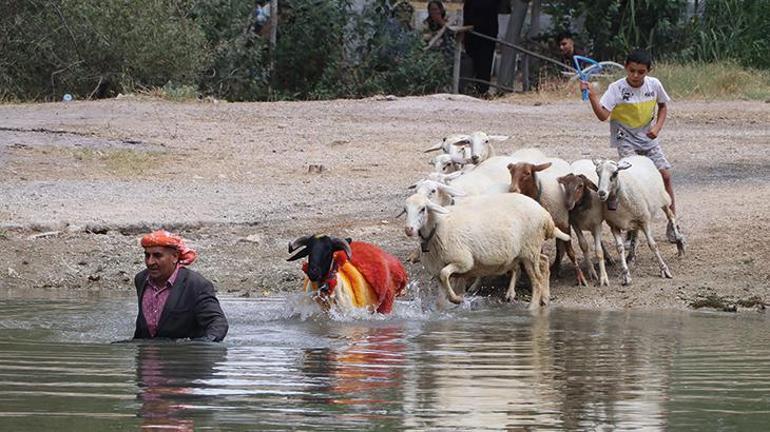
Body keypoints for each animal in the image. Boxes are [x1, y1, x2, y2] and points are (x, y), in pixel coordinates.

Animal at [402, 192, 568, 308]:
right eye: (405, 210)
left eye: (423, 209)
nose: (409, 229)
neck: (438, 226)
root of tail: (545, 215)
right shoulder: (438, 270)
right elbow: (440, 296)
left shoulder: (463, 262)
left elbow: (445, 274)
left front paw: (457, 299)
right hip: (528, 252)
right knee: (544, 263)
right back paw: (544, 299)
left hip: (530, 249)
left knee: (537, 280)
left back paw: (532, 307)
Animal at [592, 157, 680, 286]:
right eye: (597, 173)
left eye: (615, 173)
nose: (602, 193)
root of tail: (639, 156)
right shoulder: (614, 225)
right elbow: (620, 248)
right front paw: (626, 275)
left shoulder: (644, 220)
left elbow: (653, 245)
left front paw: (664, 269)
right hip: (635, 217)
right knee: (635, 234)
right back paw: (631, 257)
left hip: (662, 199)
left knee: (670, 216)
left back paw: (678, 240)